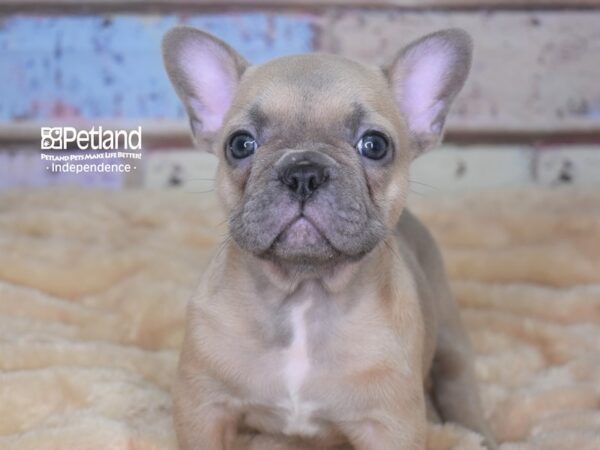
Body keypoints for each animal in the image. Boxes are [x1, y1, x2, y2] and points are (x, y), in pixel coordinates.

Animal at [164, 25, 496, 450]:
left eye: (375, 144)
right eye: (240, 144)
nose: (303, 171)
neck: (304, 293)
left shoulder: (390, 425)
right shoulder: (203, 405)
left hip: (449, 331)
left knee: (460, 384)